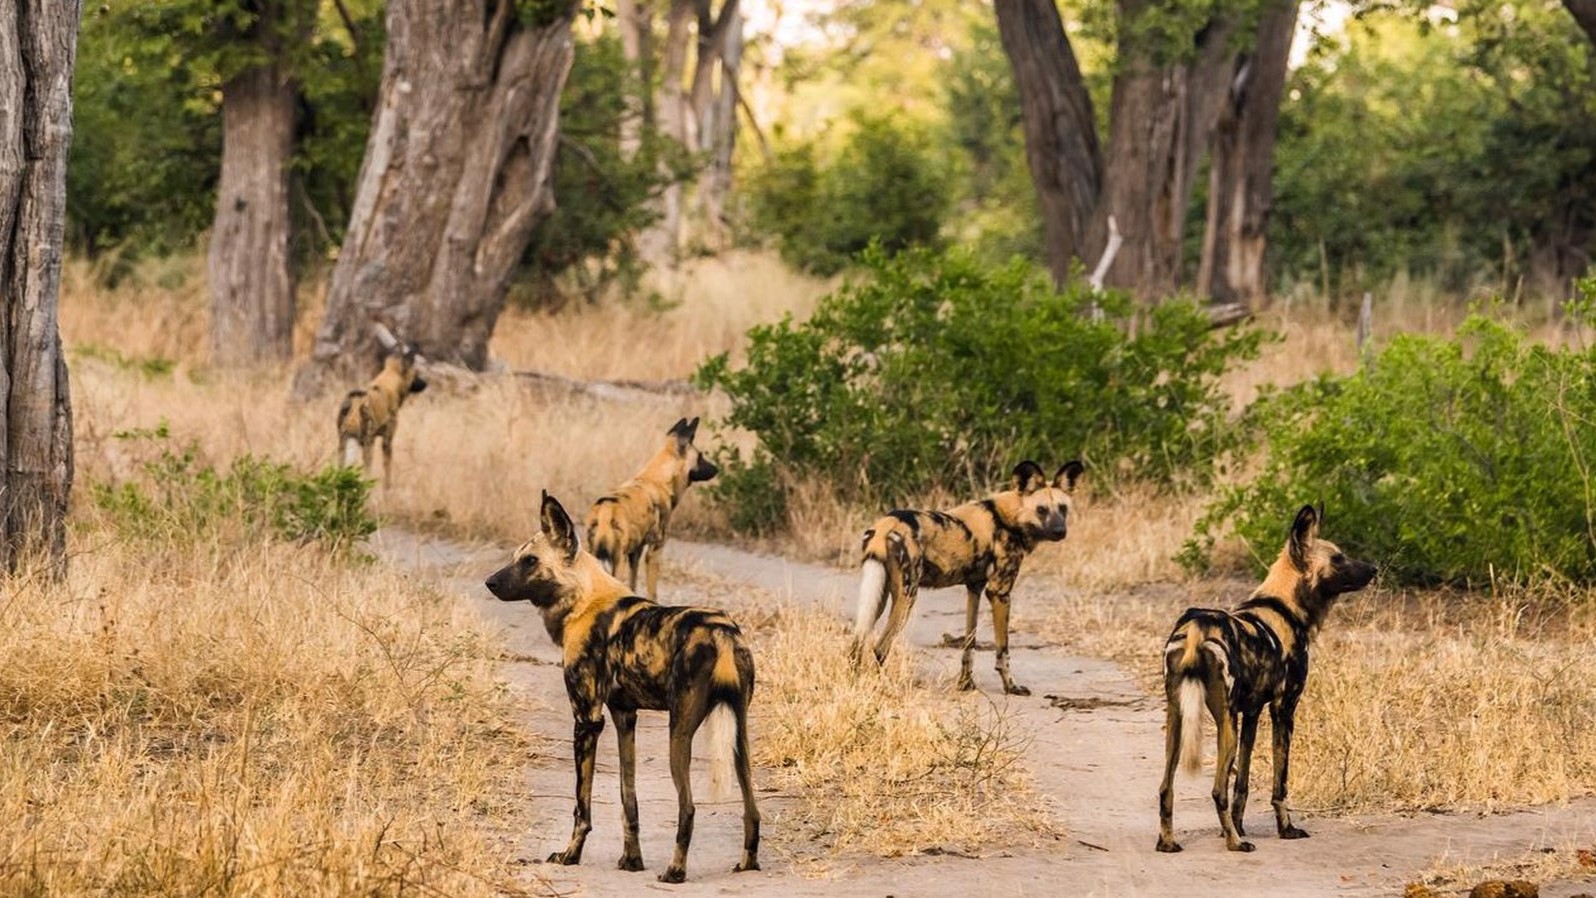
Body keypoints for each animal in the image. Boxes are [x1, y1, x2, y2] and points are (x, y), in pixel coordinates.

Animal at [336, 334, 427, 484]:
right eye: (416, 373)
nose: (425, 383)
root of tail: (356, 401)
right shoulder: (387, 440)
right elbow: (387, 472)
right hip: (368, 444)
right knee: (367, 474)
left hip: (343, 443)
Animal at [478, 491, 759, 886]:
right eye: (515, 558)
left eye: (530, 561)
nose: (490, 582)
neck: (583, 600)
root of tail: (721, 630)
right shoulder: (625, 717)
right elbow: (630, 800)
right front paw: (631, 860)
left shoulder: (586, 721)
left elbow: (581, 806)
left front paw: (570, 856)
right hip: (739, 737)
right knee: (753, 808)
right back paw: (747, 863)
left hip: (679, 734)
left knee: (687, 807)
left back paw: (675, 871)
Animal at [587, 417, 718, 599]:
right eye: (700, 456)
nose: (716, 469)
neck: (659, 478)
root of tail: (606, 510)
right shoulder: (654, 552)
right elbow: (653, 593)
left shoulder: (636, 552)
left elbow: (633, 584)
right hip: (618, 562)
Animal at [849, 459, 1085, 698]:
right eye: (1041, 509)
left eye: (1063, 508)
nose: (1060, 531)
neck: (1008, 518)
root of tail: (886, 524)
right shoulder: (999, 592)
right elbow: (1003, 651)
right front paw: (1011, 687)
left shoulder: (975, 589)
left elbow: (969, 644)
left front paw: (965, 684)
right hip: (907, 597)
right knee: (879, 648)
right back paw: (884, 690)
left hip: (879, 595)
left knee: (856, 645)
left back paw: (857, 686)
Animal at [1155, 507, 1378, 854]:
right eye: (1338, 558)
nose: (1374, 569)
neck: (1285, 606)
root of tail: (1196, 627)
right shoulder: (1283, 710)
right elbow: (1279, 782)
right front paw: (1285, 829)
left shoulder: (1251, 712)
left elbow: (1242, 783)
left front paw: (1238, 824)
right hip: (1225, 724)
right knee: (1217, 789)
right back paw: (1235, 844)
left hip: (1179, 720)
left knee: (1167, 787)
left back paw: (1169, 842)